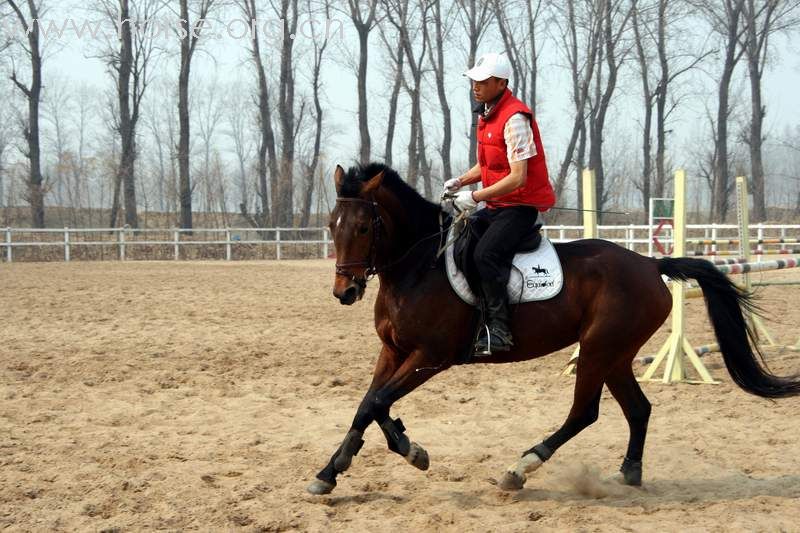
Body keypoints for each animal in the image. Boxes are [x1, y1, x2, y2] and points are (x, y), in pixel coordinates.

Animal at [306, 161, 800, 494]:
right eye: (331, 225)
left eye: (365, 226)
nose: (345, 291)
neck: (416, 267)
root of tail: (649, 263)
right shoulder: (392, 351)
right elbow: (369, 404)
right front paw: (336, 469)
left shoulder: (431, 357)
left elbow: (378, 402)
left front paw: (408, 453)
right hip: (616, 354)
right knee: (638, 409)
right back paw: (629, 473)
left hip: (598, 349)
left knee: (585, 413)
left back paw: (520, 468)